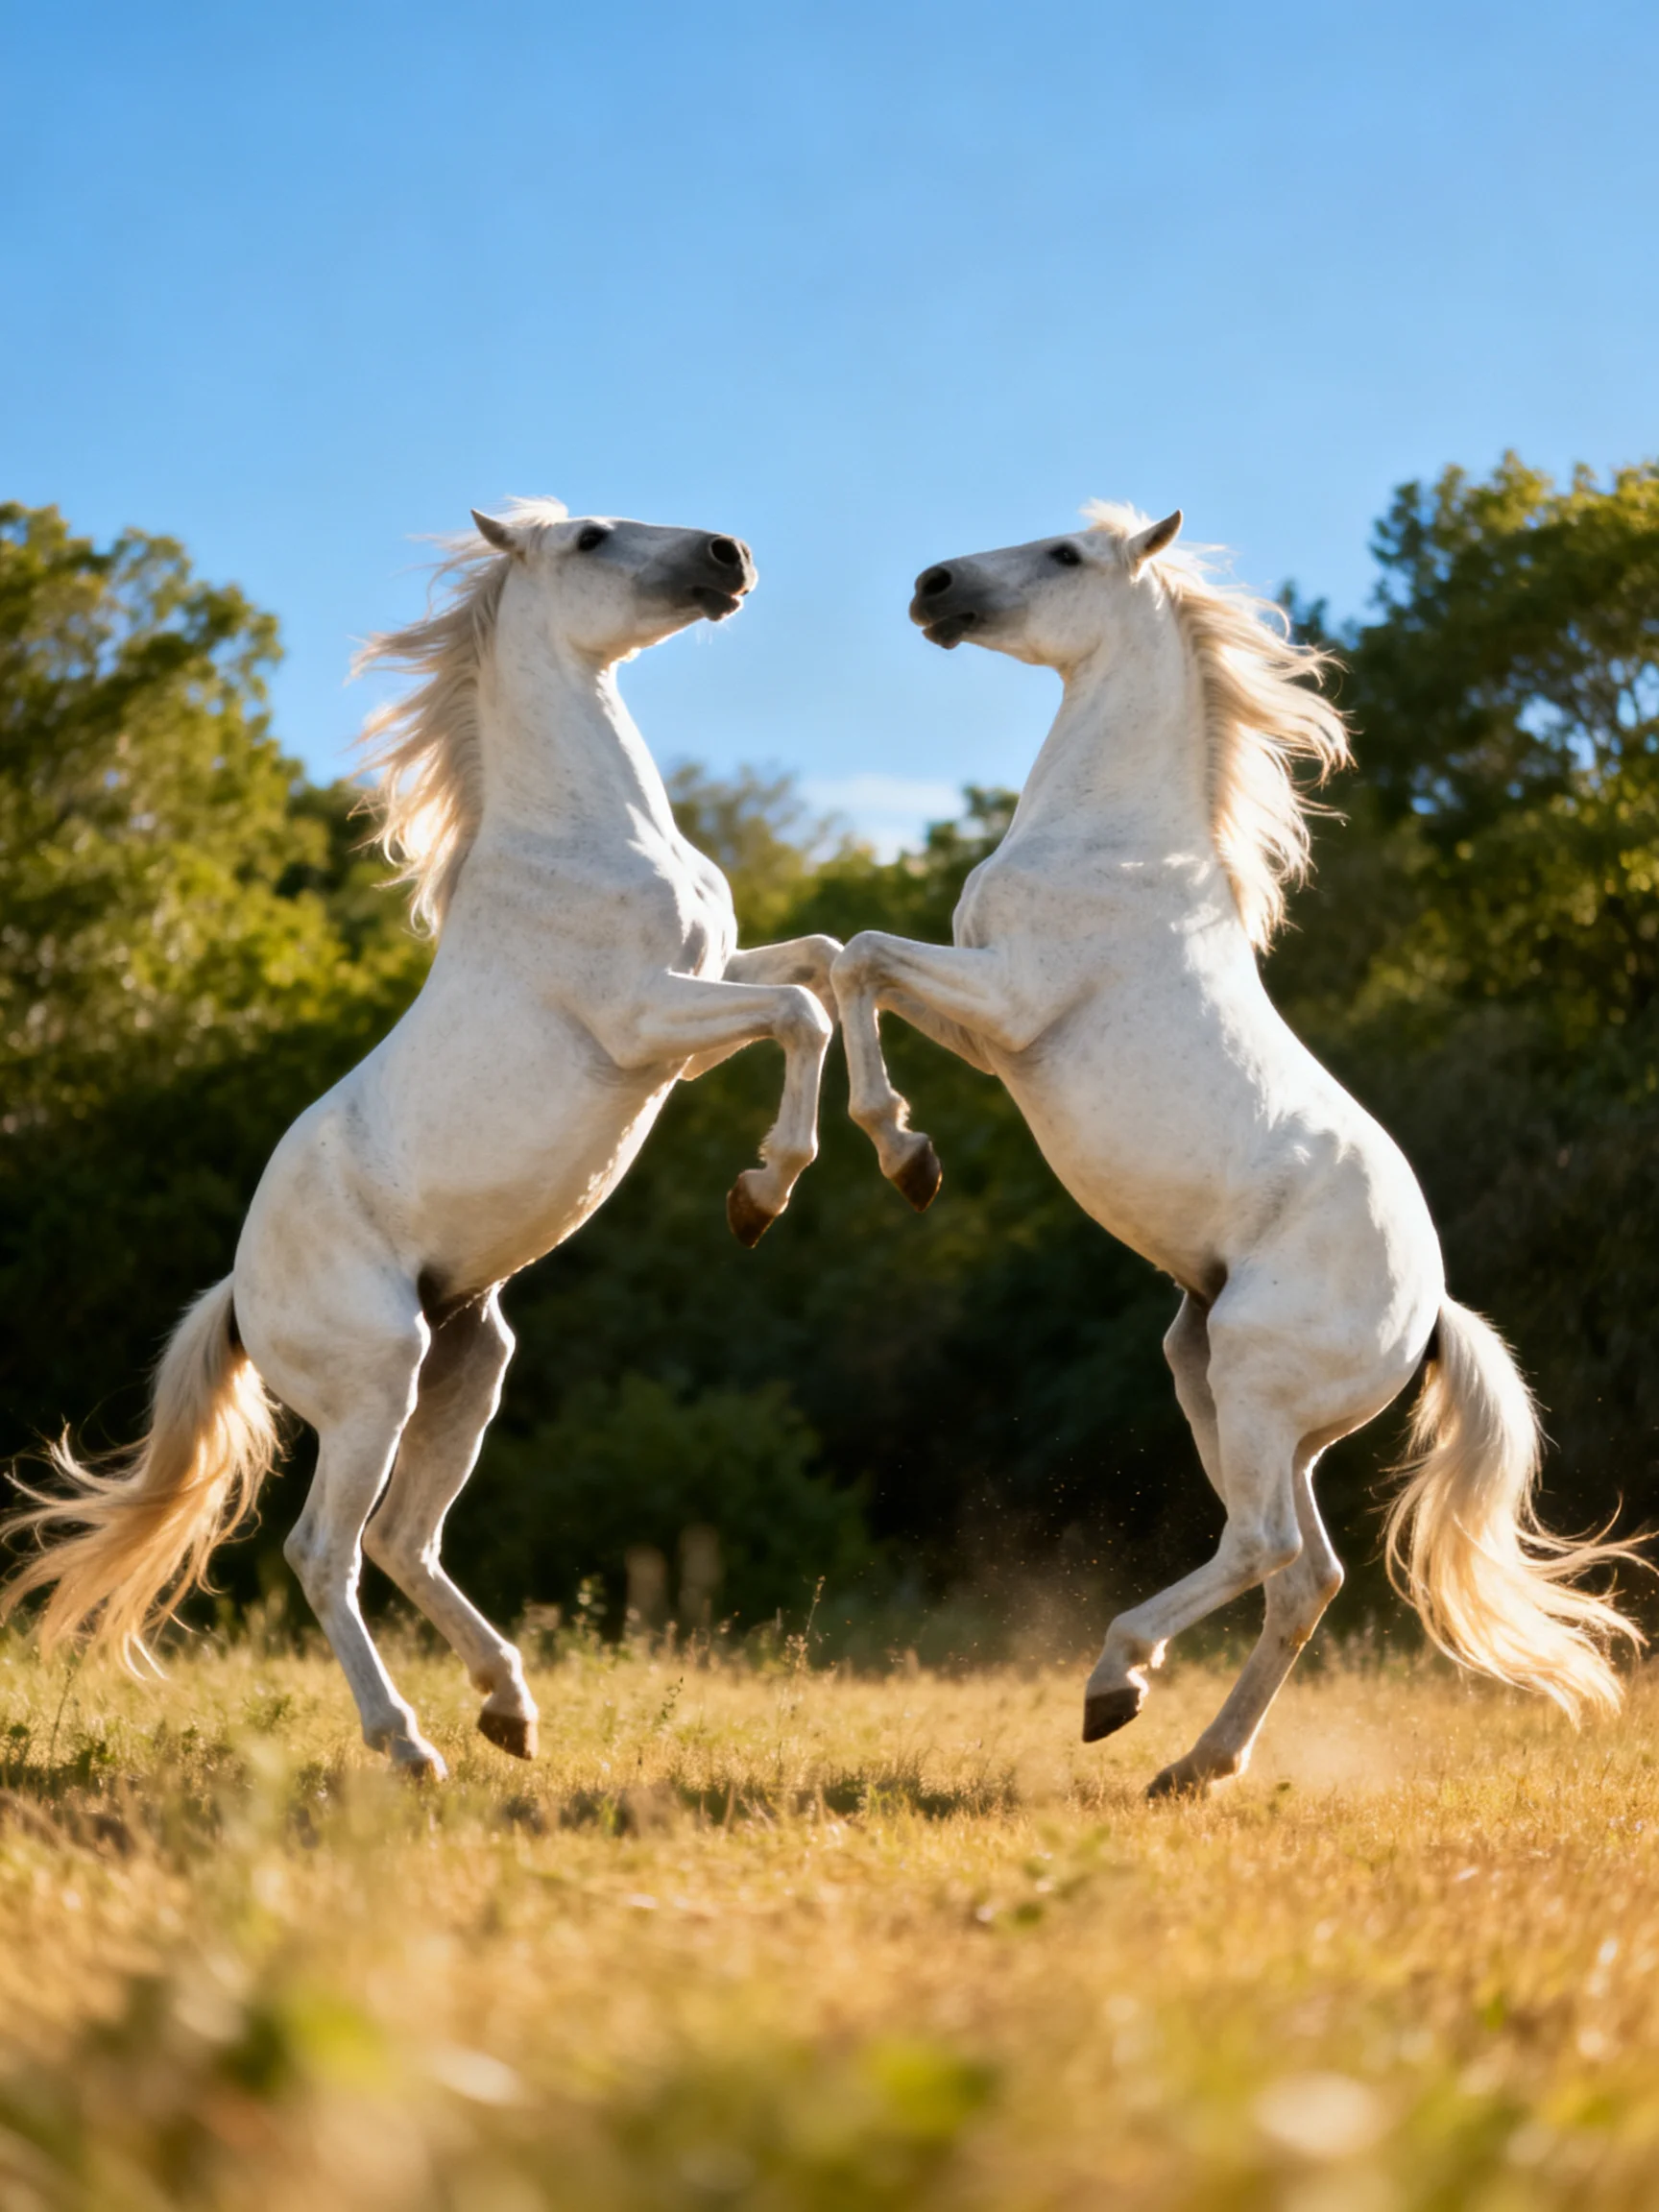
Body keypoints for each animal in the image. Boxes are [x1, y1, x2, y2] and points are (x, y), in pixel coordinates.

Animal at [1, 499, 842, 1779]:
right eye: (593, 536)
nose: (729, 556)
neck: (584, 837)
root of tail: (241, 1298)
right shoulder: (648, 1022)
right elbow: (802, 1008)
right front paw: (764, 1192)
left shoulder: (700, 1008)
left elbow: (828, 967)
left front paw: (892, 1146)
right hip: (374, 1387)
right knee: (324, 1551)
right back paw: (407, 1744)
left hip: (467, 1363)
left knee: (403, 1539)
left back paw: (509, 1709)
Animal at [830, 502, 1645, 1796]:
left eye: (1065, 555)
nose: (934, 584)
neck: (1114, 843)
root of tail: (1429, 1316)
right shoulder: (986, 1031)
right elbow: (838, 960)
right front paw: (896, 1140)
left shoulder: (1009, 1004)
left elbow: (858, 952)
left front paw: (903, 1154)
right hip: (1224, 1389)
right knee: (1304, 1572)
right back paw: (1194, 1759)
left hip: (1256, 1392)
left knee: (1261, 1547)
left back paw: (1117, 1682)